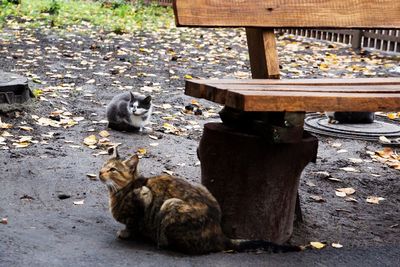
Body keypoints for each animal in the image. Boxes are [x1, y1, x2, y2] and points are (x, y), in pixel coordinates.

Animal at [98, 148, 302, 256]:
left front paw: (126, 233)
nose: (100, 172)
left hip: (170, 205)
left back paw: (158, 241)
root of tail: (219, 234)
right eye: (104, 165)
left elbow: (133, 222)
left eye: (113, 169)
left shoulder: (144, 195)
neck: (121, 190)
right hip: (203, 188)